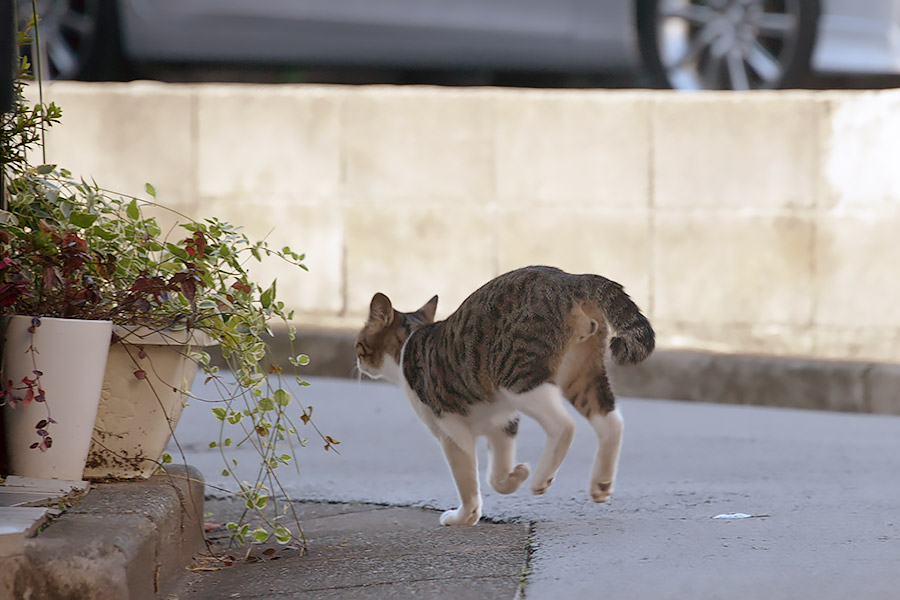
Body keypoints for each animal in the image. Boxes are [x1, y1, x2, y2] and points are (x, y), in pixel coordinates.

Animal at [356, 266, 656, 524]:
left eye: (359, 344)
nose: (358, 363)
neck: (409, 343)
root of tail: (569, 278)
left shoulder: (451, 429)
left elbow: (467, 480)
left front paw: (463, 517)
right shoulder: (503, 422)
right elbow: (496, 475)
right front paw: (515, 476)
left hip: (517, 375)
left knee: (564, 425)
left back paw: (541, 479)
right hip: (582, 373)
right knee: (611, 422)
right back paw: (600, 483)